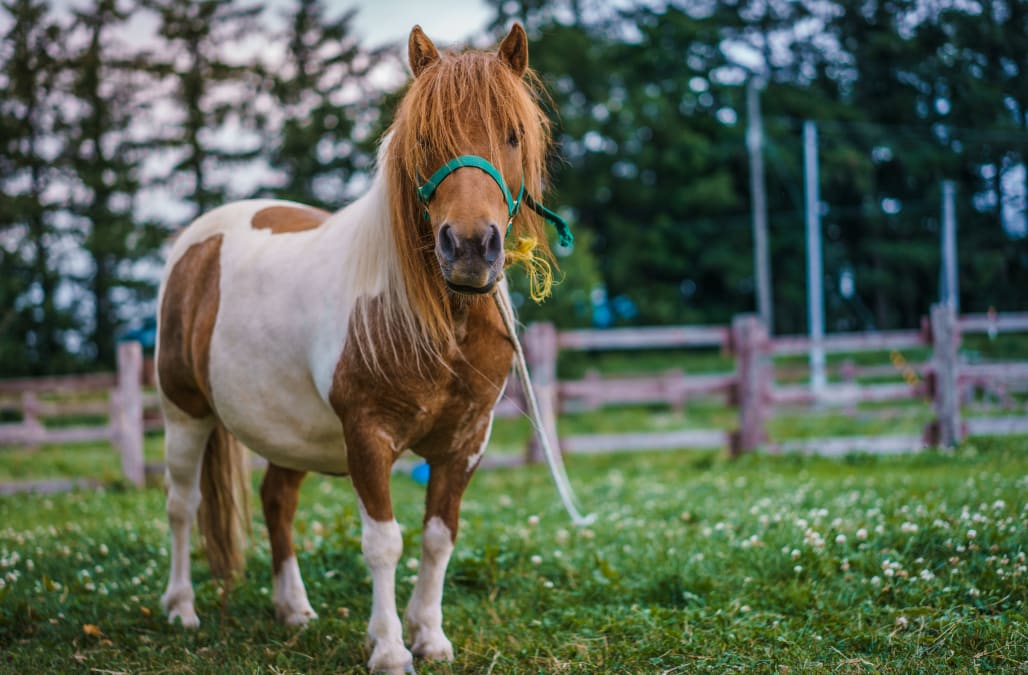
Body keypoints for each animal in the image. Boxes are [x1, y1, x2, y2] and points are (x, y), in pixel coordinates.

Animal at [158, 23, 563, 669]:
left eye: (513, 133)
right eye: (424, 136)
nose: (470, 249)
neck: (437, 320)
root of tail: (196, 242)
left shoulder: (465, 442)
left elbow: (438, 538)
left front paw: (430, 637)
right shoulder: (368, 436)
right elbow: (384, 543)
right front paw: (391, 649)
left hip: (287, 428)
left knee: (277, 500)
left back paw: (293, 609)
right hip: (184, 412)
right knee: (182, 503)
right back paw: (180, 608)